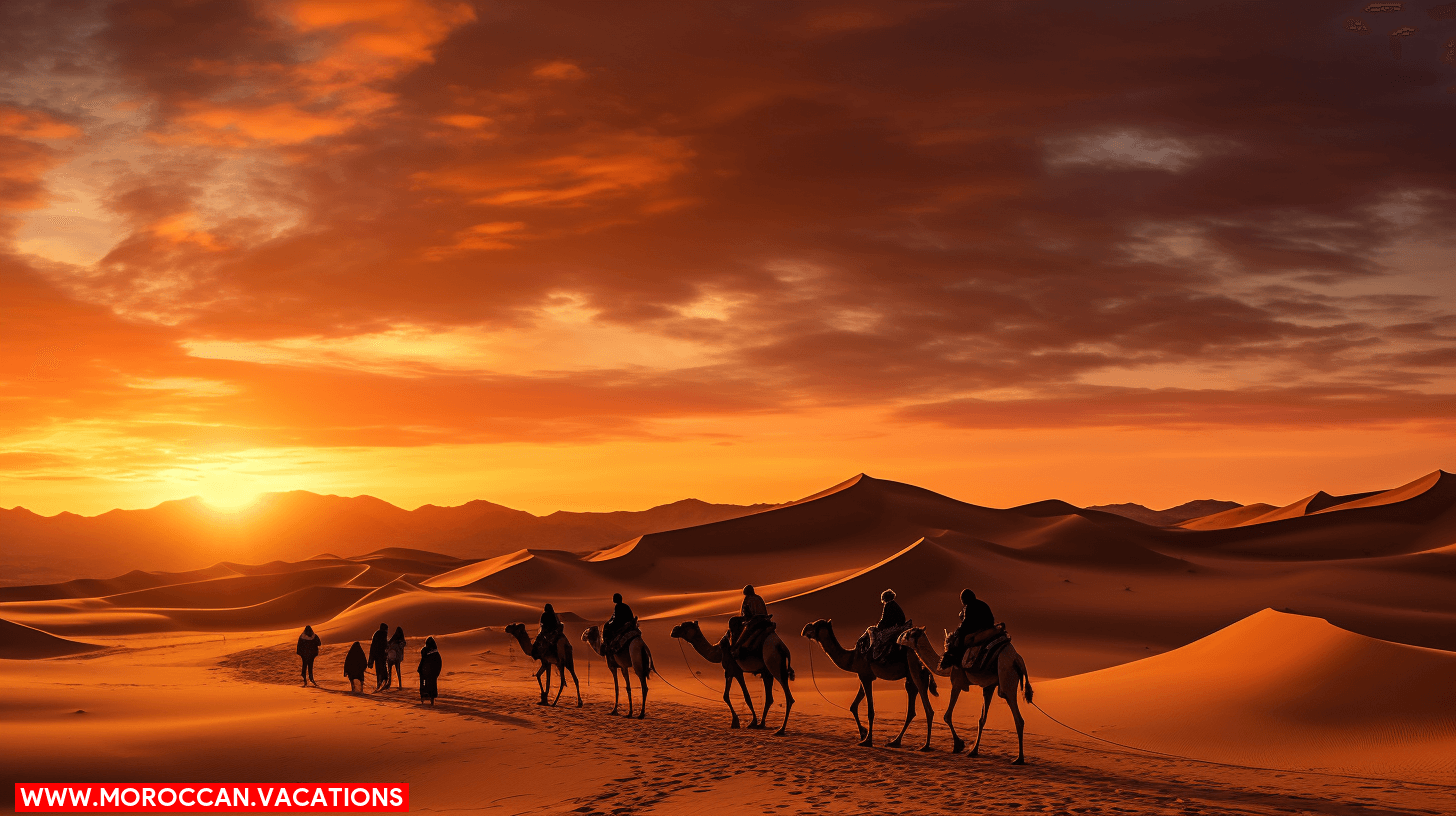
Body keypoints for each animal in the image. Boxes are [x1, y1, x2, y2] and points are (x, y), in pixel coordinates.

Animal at [669, 617, 797, 734]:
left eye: (685, 625)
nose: (673, 630)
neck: (719, 651)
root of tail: (782, 647)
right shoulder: (732, 671)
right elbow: (729, 696)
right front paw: (747, 722)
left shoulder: (734, 670)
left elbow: (741, 696)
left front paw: (743, 722)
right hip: (767, 671)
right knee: (770, 698)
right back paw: (762, 724)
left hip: (774, 664)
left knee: (788, 697)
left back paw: (780, 730)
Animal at [803, 620, 937, 751]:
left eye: (817, 624)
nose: (805, 629)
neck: (852, 658)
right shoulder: (863, 675)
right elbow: (853, 706)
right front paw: (863, 733)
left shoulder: (866, 676)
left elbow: (870, 711)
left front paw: (867, 741)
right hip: (911, 678)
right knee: (911, 707)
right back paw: (895, 742)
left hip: (916, 671)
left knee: (928, 708)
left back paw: (925, 746)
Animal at [896, 623, 1036, 763]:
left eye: (910, 633)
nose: (898, 638)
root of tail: (1017, 659)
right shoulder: (989, 686)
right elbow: (982, 719)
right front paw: (973, 750)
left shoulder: (957, 682)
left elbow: (947, 715)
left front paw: (958, 745)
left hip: (1006, 677)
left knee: (1018, 718)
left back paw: (1019, 759)